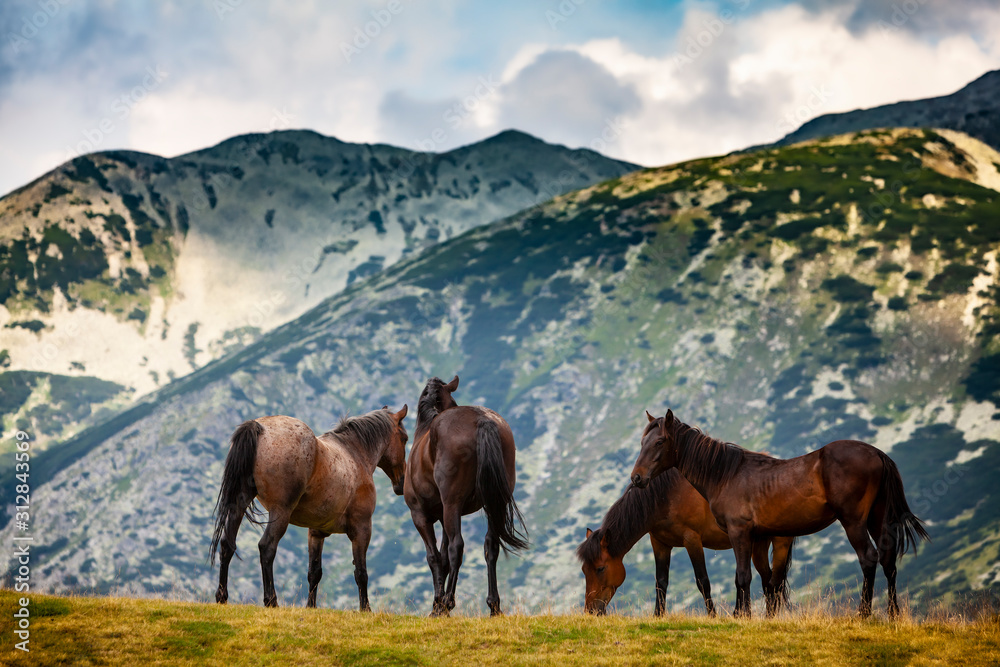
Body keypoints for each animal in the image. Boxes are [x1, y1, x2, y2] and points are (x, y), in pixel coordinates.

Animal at [209, 408, 408, 612]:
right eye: (405, 438)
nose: (401, 482)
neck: (354, 453)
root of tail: (259, 427)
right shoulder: (362, 529)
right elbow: (361, 573)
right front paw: (365, 609)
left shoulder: (316, 532)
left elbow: (314, 572)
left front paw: (310, 606)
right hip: (280, 512)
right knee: (266, 547)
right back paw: (271, 600)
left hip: (239, 504)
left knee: (227, 543)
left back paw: (222, 596)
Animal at [576, 470, 792, 616]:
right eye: (584, 571)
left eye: (600, 568)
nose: (591, 610)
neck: (666, 495)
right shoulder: (660, 543)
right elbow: (661, 582)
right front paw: (658, 616)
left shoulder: (692, 540)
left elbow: (703, 581)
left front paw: (712, 616)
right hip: (756, 545)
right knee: (765, 580)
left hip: (775, 543)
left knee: (772, 581)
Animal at [632, 410, 928, 620]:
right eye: (642, 441)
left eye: (659, 441)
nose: (636, 478)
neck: (727, 474)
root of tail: (877, 453)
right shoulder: (757, 538)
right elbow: (759, 579)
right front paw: (746, 614)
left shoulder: (740, 533)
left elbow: (743, 576)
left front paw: (743, 616)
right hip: (878, 519)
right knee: (888, 561)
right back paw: (893, 614)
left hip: (854, 522)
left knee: (868, 558)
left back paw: (864, 613)